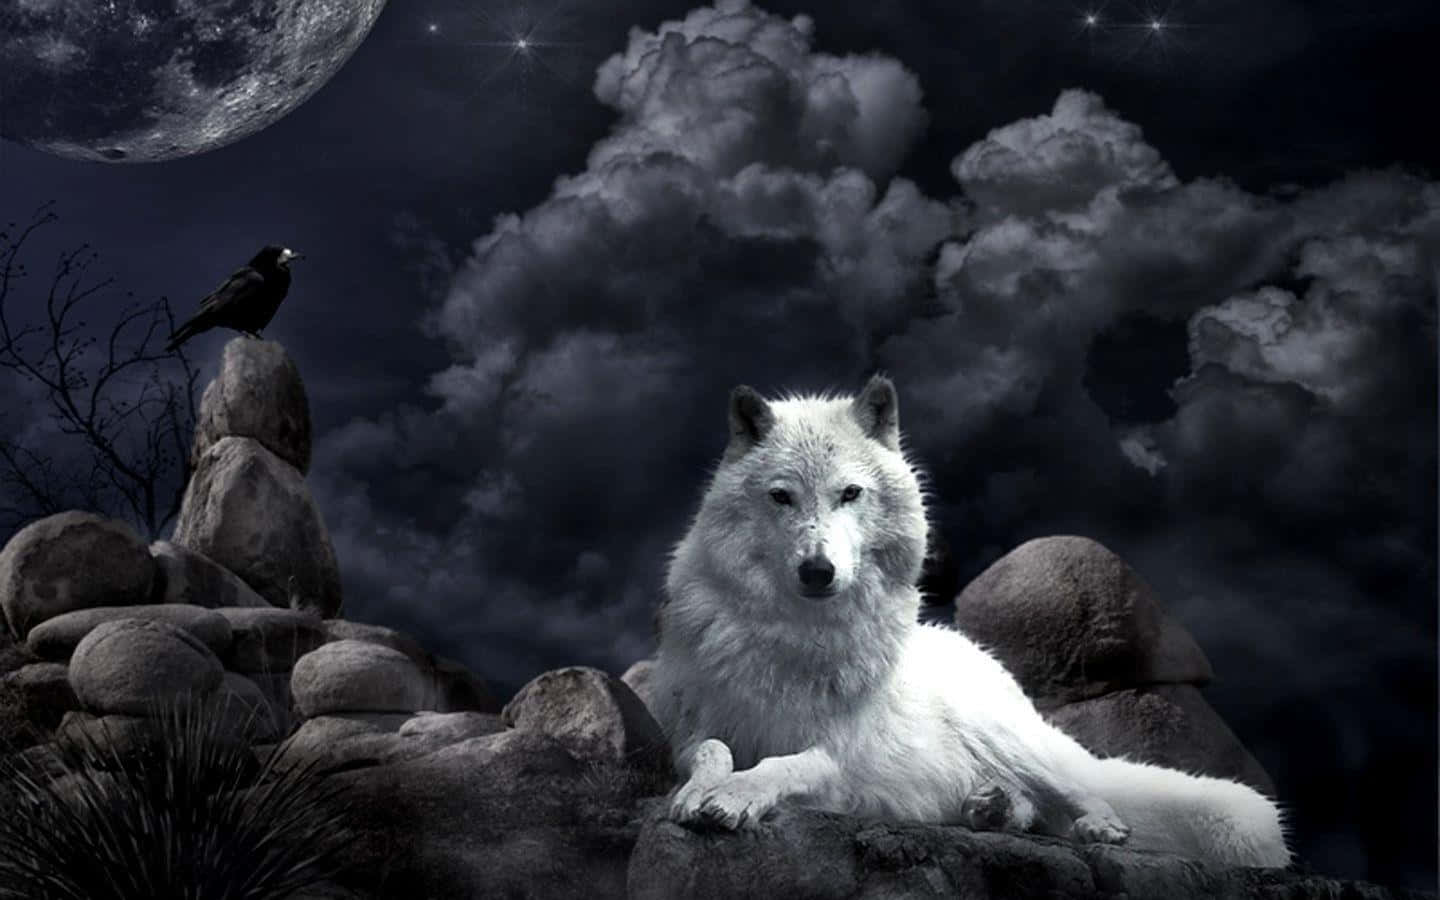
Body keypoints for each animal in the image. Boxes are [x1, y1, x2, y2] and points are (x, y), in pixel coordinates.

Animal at [648, 375, 1290, 868]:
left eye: (850, 493)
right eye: (782, 497)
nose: (817, 570)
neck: (796, 636)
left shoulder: (839, 758)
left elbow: (782, 764)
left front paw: (735, 796)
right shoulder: (692, 729)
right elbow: (711, 752)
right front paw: (701, 792)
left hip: (1006, 735)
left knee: (1077, 791)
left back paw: (1094, 825)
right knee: (1033, 809)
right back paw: (991, 808)